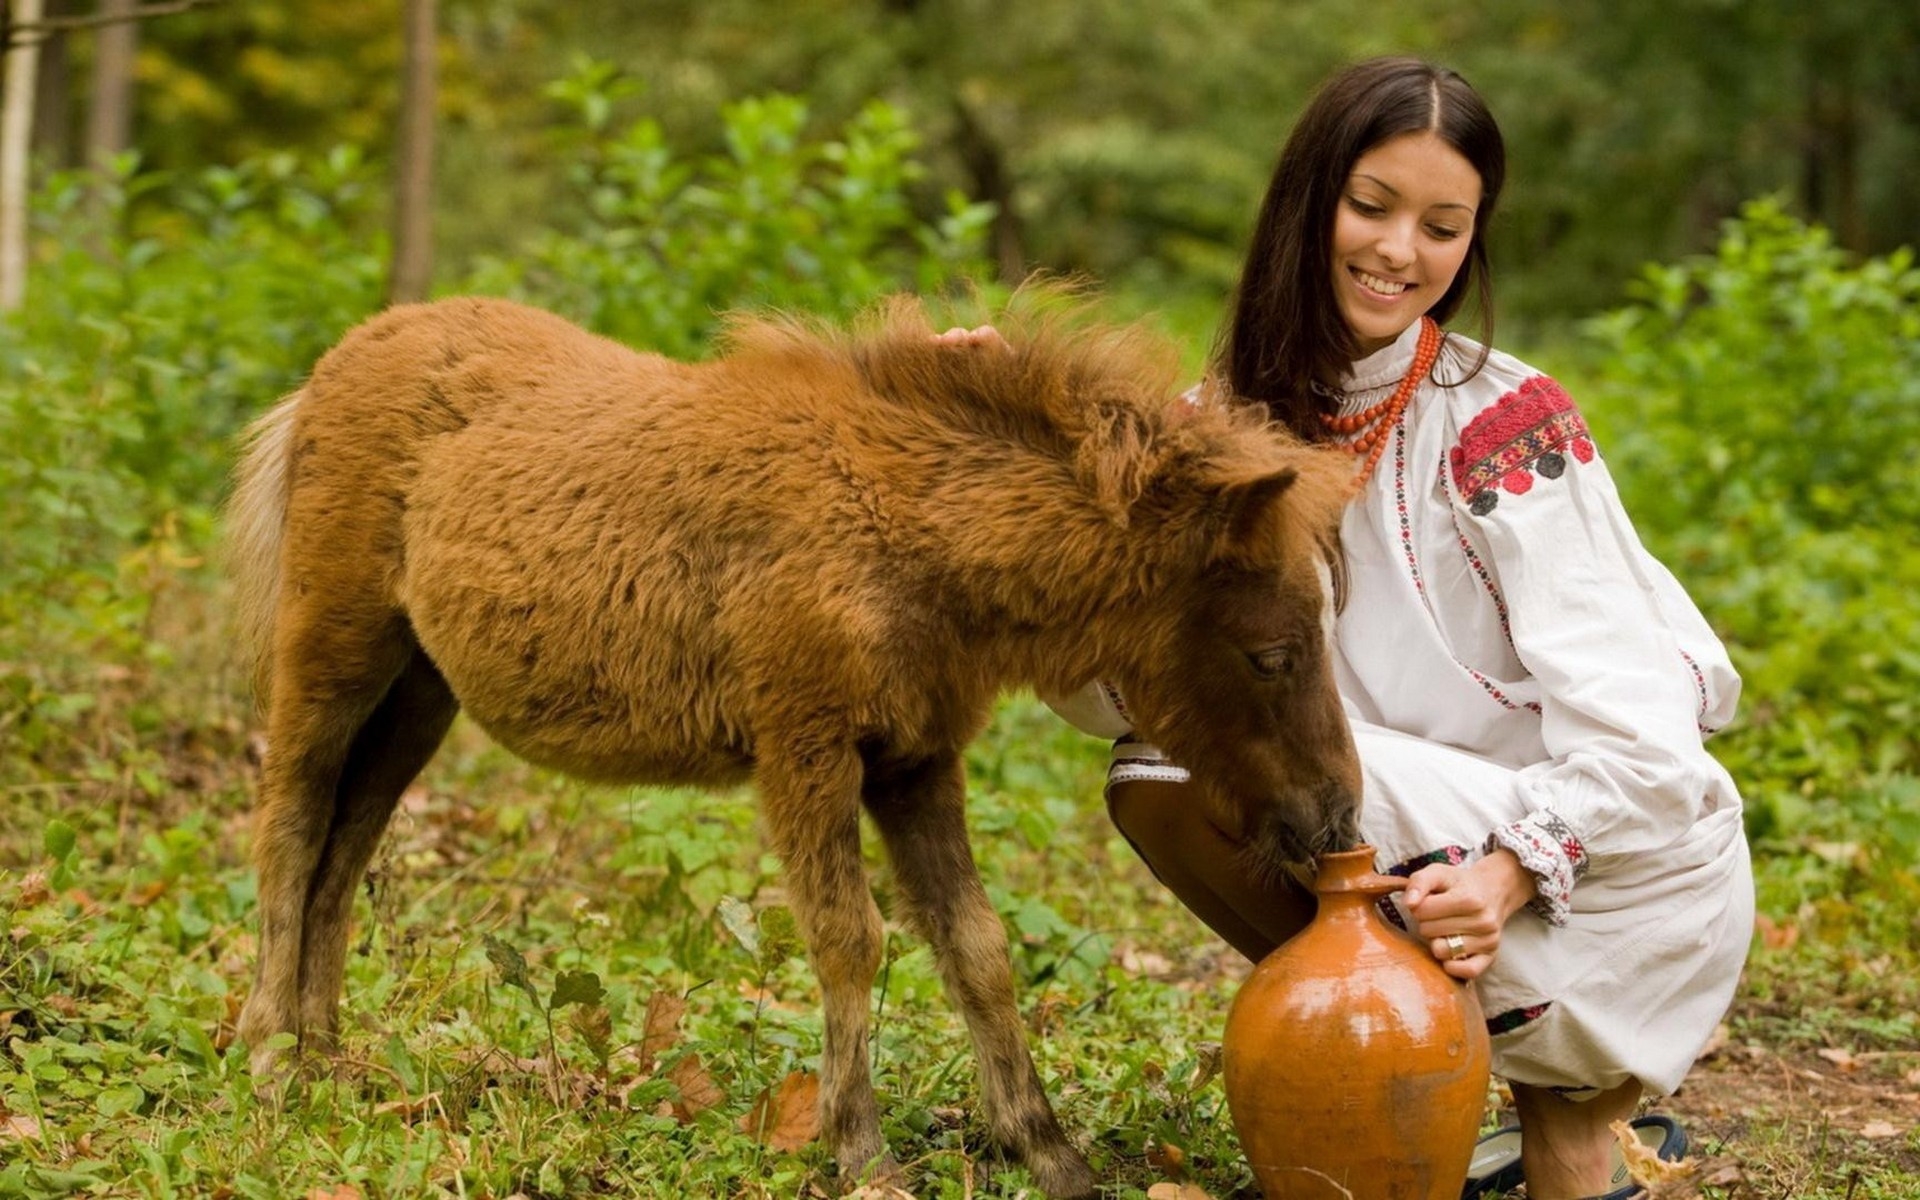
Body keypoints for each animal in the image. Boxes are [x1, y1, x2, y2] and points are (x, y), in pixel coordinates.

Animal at [224, 288, 1367, 1190]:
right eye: (1273, 652)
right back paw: (271, 1062)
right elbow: (851, 937)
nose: (1335, 816)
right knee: (289, 824)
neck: (904, 534)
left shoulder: (916, 760)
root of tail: (333, 366)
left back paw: (328, 1058)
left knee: (346, 845)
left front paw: (1046, 1151)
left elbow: (977, 946)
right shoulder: (803, 747)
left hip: (422, 690)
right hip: (335, 649)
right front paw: (858, 1148)